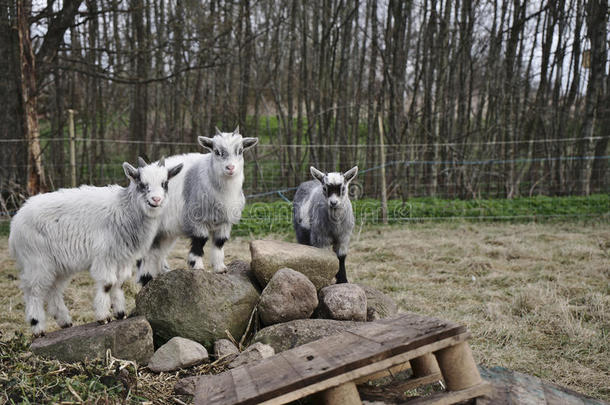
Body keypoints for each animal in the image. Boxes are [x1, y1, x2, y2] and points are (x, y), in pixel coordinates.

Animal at [8, 156, 182, 336]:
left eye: (165, 183)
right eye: (141, 183)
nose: (156, 200)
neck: (124, 209)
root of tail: (16, 222)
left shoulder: (123, 257)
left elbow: (119, 283)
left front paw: (120, 313)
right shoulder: (105, 256)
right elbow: (107, 284)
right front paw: (103, 317)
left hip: (58, 265)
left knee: (54, 289)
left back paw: (65, 322)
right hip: (36, 260)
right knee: (34, 290)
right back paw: (38, 327)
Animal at [137, 127, 258, 284]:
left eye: (241, 150)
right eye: (216, 151)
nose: (230, 168)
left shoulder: (225, 221)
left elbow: (219, 242)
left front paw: (220, 268)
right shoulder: (196, 220)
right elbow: (200, 240)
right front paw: (197, 266)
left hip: (165, 232)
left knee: (157, 252)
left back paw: (162, 272)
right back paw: (146, 278)